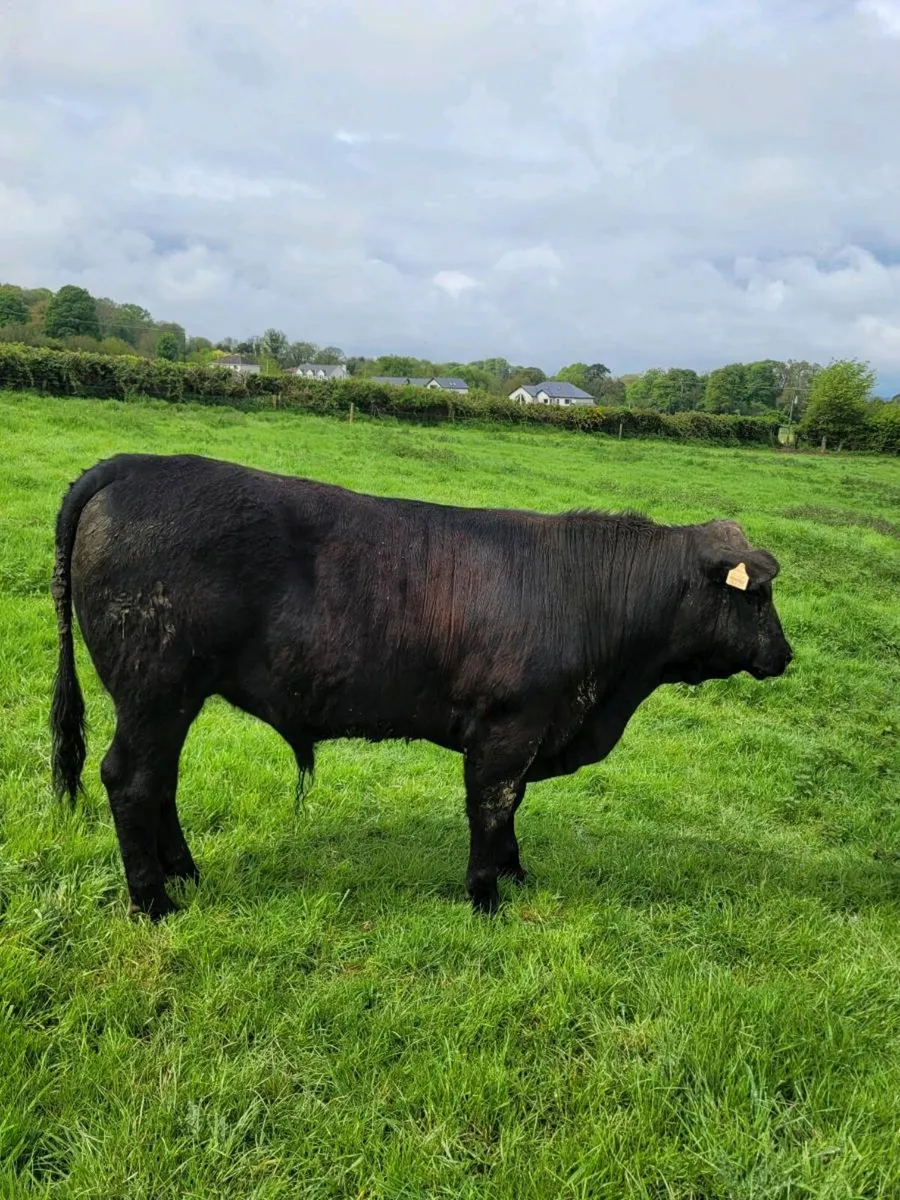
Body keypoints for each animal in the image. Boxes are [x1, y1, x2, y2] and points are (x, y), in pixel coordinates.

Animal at [50, 452, 792, 919]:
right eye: (758, 596)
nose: (785, 654)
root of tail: (135, 464)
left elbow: (511, 808)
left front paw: (517, 875)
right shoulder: (507, 728)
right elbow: (492, 806)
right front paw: (487, 895)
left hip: (171, 697)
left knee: (160, 779)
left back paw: (184, 871)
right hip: (153, 688)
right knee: (130, 779)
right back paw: (154, 901)